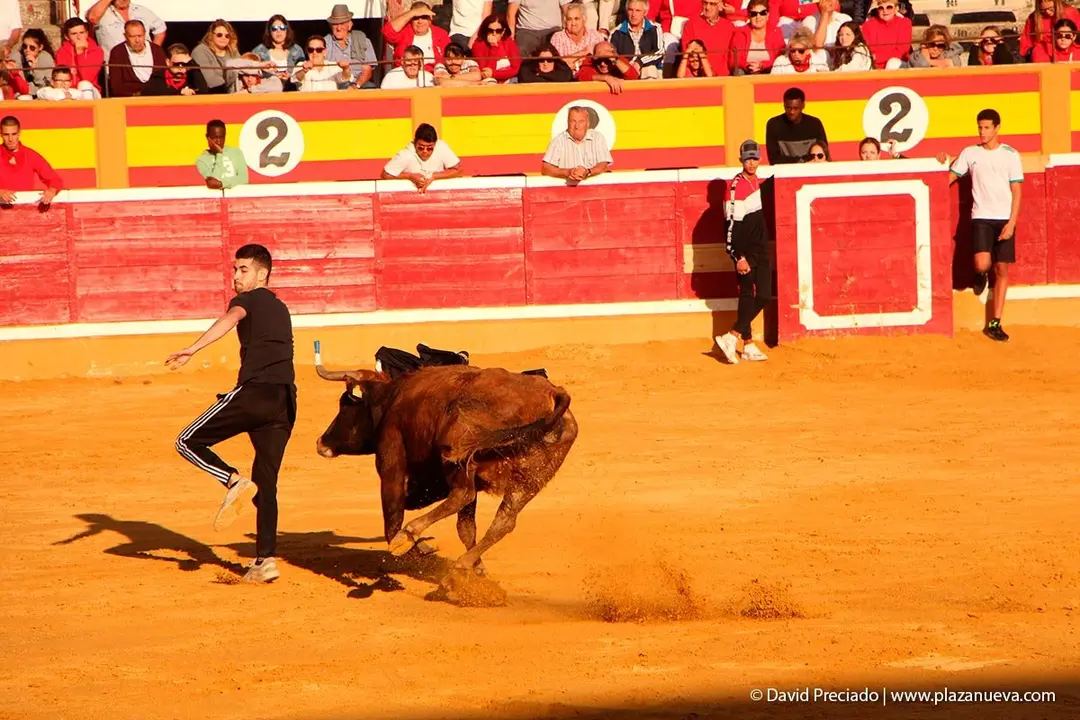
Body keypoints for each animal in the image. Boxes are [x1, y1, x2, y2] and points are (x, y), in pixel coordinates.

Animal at [313, 346, 578, 598]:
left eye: (345, 405)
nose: (321, 443)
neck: (391, 398)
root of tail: (552, 394)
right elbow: (466, 528)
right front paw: (477, 571)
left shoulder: (390, 459)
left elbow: (392, 514)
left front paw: (413, 547)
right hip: (529, 480)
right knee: (503, 520)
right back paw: (459, 569)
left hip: (459, 456)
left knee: (462, 495)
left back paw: (411, 537)